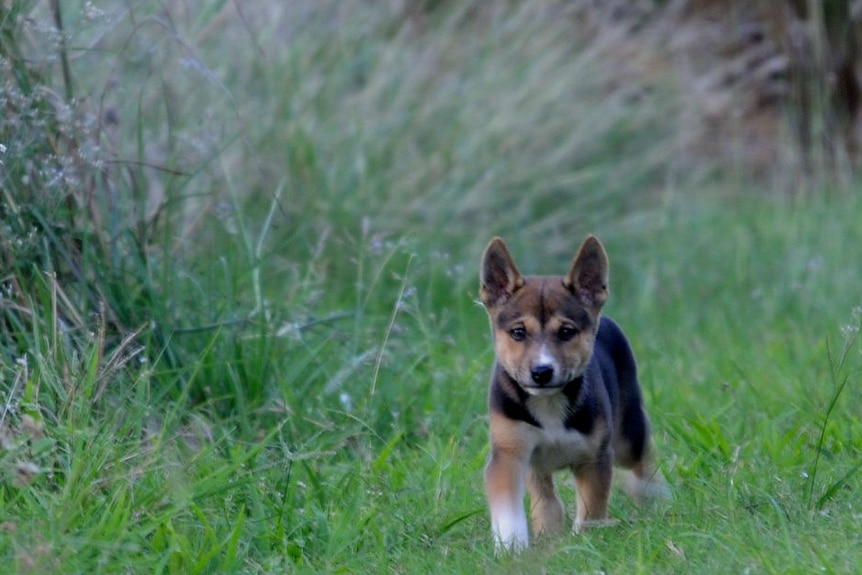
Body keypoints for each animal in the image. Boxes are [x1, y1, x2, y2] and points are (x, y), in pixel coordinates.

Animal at [480, 235, 668, 552]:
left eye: (566, 332)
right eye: (518, 332)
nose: (541, 371)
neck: (548, 401)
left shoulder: (595, 457)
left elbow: (591, 507)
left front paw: (586, 540)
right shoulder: (508, 453)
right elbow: (509, 508)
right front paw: (512, 547)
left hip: (627, 435)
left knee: (641, 461)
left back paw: (653, 495)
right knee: (545, 496)